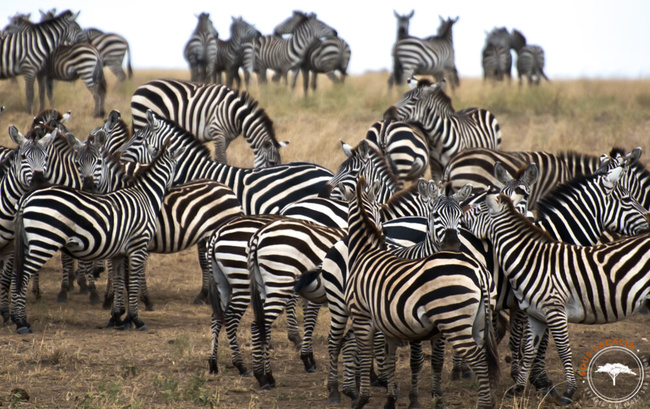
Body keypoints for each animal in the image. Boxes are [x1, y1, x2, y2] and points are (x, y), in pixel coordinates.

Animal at [12, 140, 185, 332]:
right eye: (178, 167)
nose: (179, 187)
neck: (145, 196)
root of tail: (27, 198)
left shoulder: (119, 253)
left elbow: (118, 281)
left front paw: (117, 318)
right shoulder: (138, 247)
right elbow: (132, 283)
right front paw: (136, 319)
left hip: (29, 242)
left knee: (17, 274)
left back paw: (19, 319)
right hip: (44, 241)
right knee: (24, 274)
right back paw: (21, 322)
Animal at [129, 78, 286, 167]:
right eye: (272, 163)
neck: (236, 115)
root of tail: (140, 88)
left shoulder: (227, 137)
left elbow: (218, 158)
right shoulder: (217, 131)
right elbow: (222, 159)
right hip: (142, 119)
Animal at [340, 177, 496, 408]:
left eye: (460, 216)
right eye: (435, 214)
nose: (452, 243)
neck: (366, 250)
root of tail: (478, 271)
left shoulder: (367, 315)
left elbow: (382, 355)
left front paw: (366, 398)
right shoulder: (394, 323)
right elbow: (395, 359)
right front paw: (396, 397)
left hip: (455, 320)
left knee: (478, 357)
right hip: (478, 321)